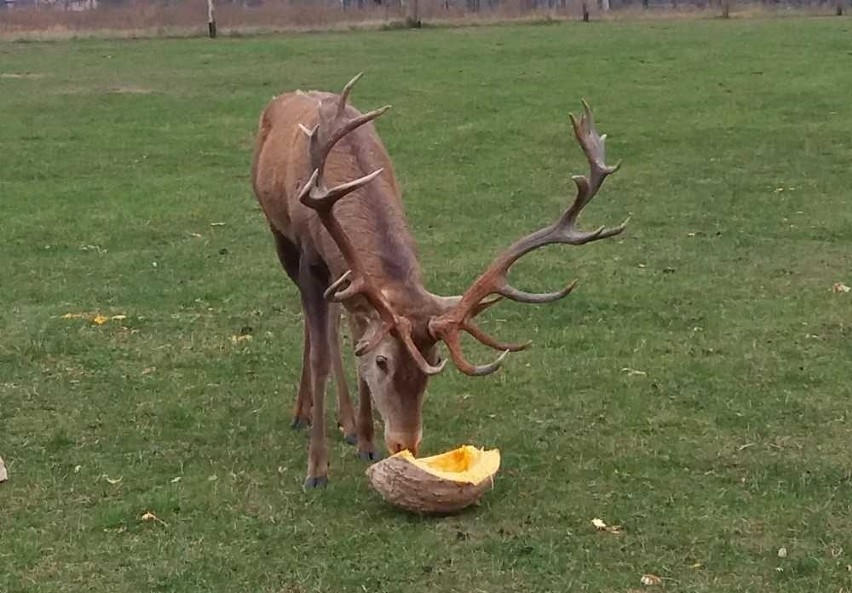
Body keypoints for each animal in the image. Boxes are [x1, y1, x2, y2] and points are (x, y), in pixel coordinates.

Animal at [250, 73, 628, 486]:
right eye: (384, 362)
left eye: (433, 360)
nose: (406, 444)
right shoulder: (309, 259)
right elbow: (322, 354)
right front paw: (317, 470)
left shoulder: (353, 281)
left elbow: (356, 345)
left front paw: (366, 441)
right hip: (278, 233)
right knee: (315, 326)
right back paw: (302, 414)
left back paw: (349, 424)